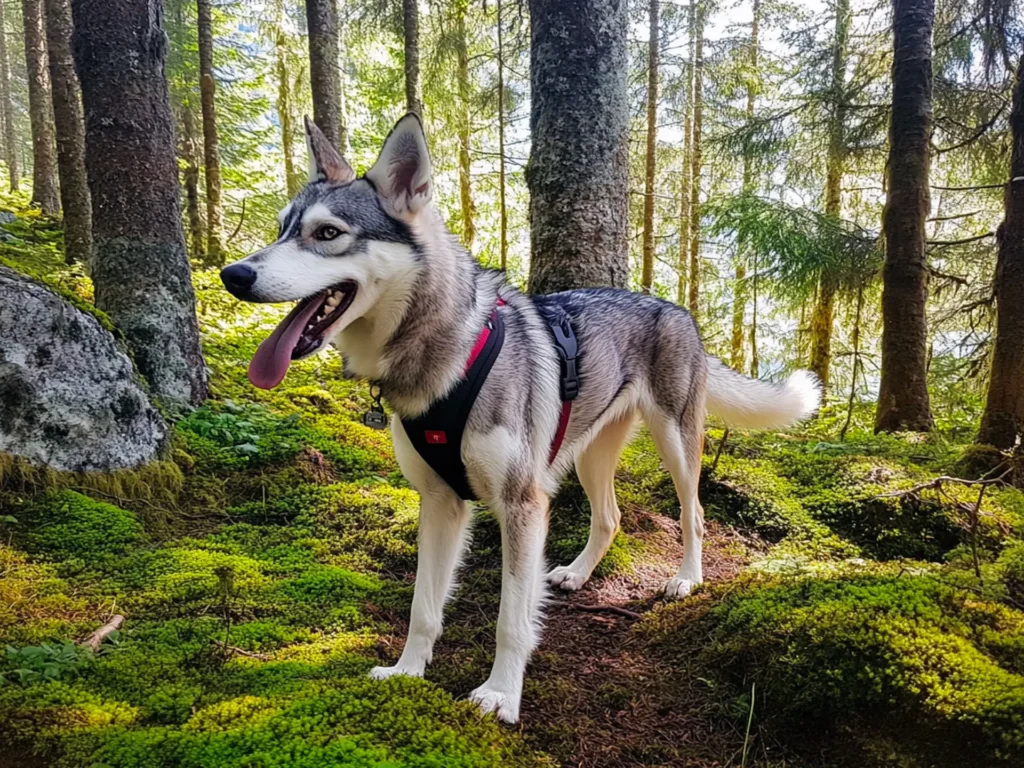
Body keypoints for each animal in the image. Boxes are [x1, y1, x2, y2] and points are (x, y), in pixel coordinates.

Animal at [220, 112, 819, 720]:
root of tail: (675, 307)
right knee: (610, 518)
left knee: (693, 514)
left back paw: (686, 579)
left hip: (675, 445)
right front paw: (407, 672)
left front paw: (501, 695)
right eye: (282, 229)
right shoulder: (440, 504)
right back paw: (577, 574)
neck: (448, 358)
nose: (232, 274)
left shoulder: (521, 504)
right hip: (588, 458)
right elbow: (423, 608)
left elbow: (511, 619)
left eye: (327, 234)